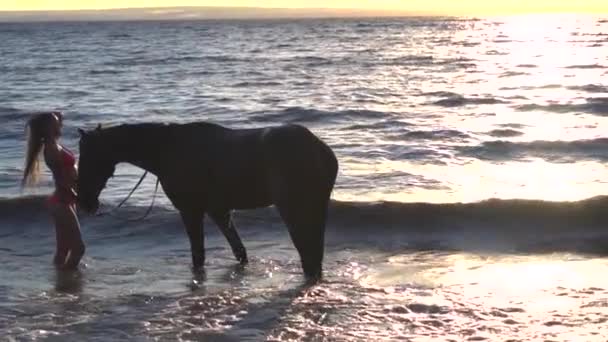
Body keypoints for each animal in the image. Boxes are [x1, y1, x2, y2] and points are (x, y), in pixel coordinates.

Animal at [76, 121, 338, 280]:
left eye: (89, 157)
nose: (85, 203)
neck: (167, 148)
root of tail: (319, 149)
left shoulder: (190, 211)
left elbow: (198, 255)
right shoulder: (218, 211)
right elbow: (239, 251)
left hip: (294, 210)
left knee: (308, 253)